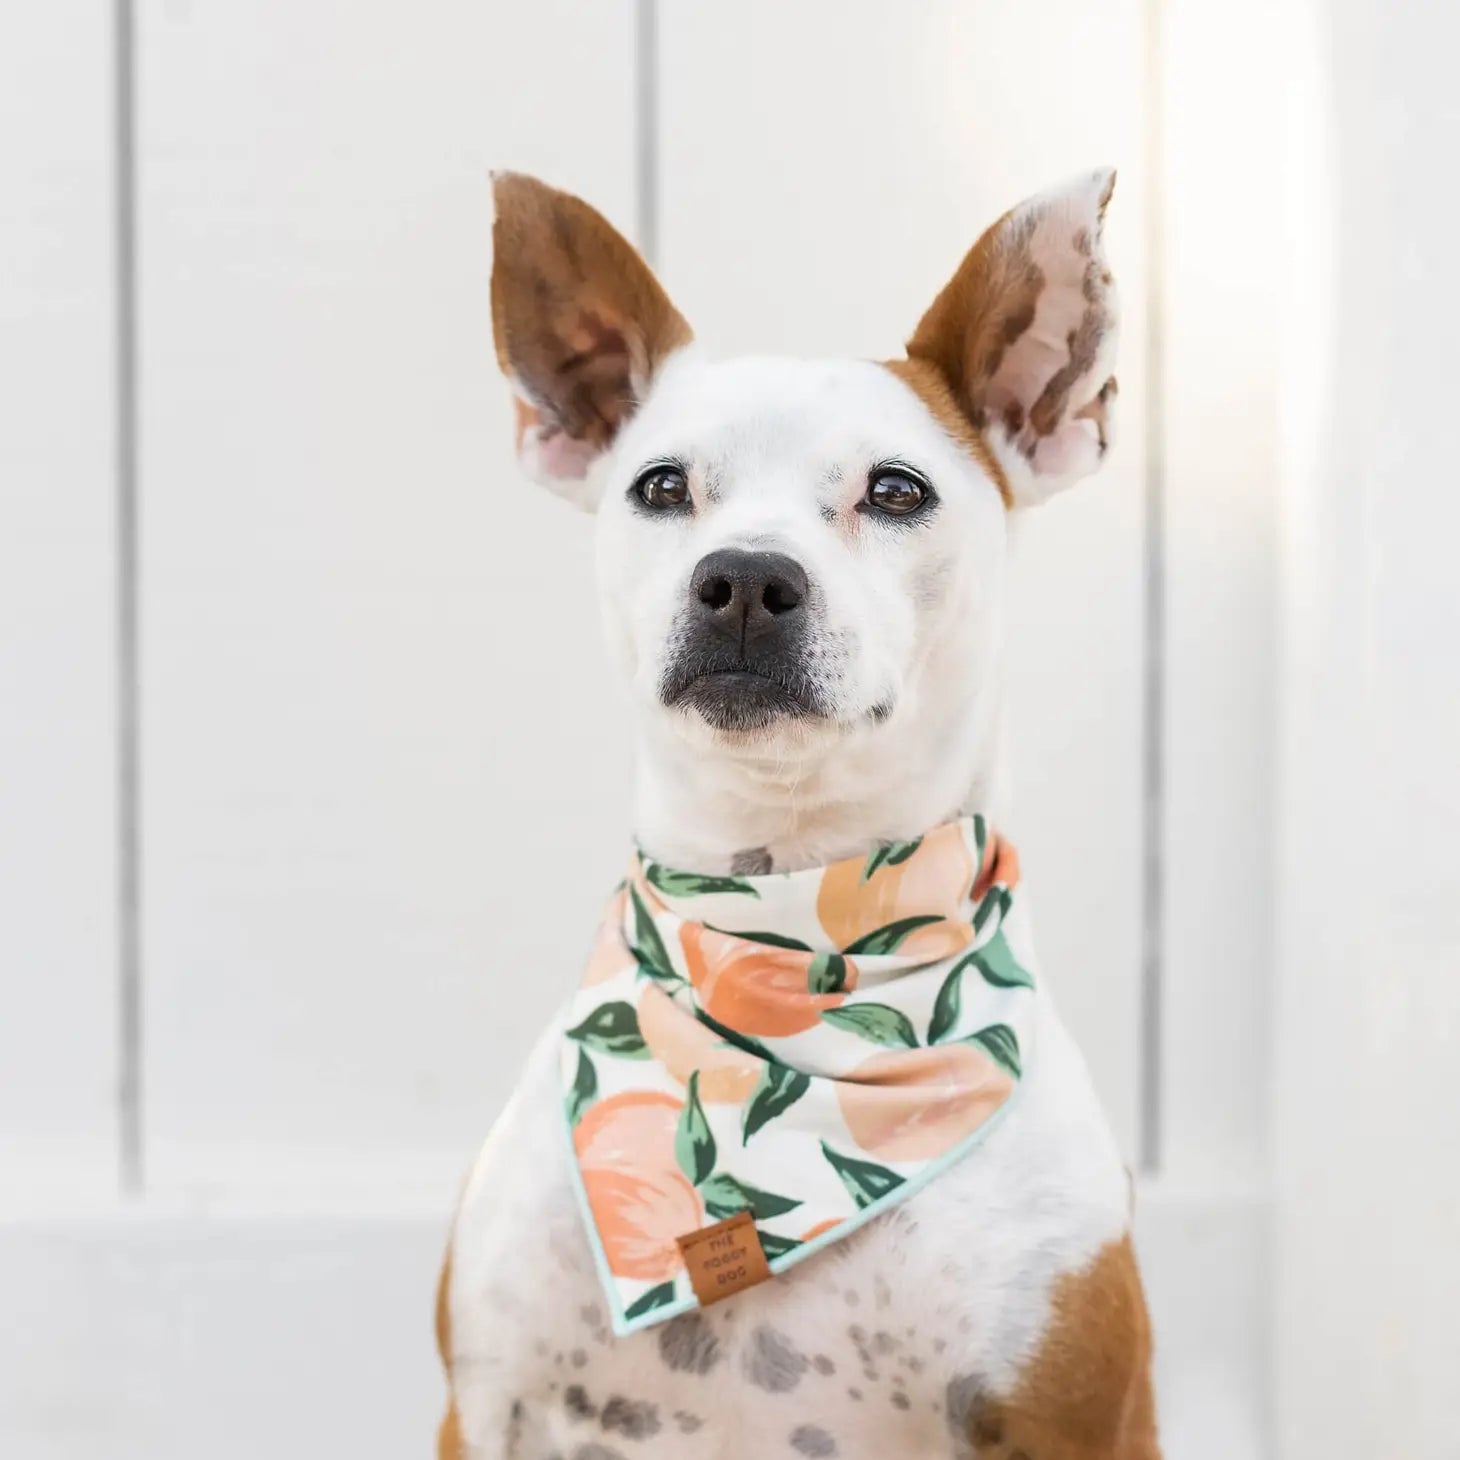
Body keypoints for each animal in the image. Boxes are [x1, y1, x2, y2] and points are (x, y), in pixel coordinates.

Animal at [438, 167, 1156, 1460]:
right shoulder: (481, 1411)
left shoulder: (1082, 1417)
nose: (743, 579)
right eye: (662, 484)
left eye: (897, 489)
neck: (785, 947)